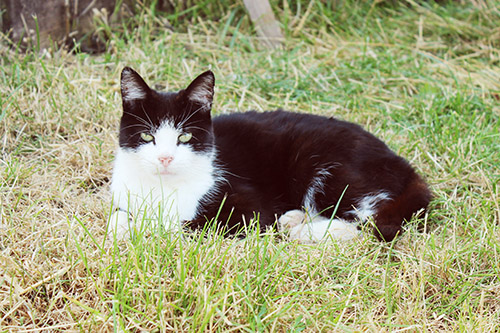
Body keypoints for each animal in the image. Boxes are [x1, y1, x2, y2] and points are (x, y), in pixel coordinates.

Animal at [108, 67, 430, 241]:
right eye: (147, 136)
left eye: (184, 136)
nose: (165, 159)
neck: (162, 188)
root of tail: (406, 167)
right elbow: (115, 219)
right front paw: (127, 227)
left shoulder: (246, 207)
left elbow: (185, 224)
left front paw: (149, 227)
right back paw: (293, 219)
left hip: (319, 162)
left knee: (376, 221)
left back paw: (308, 232)